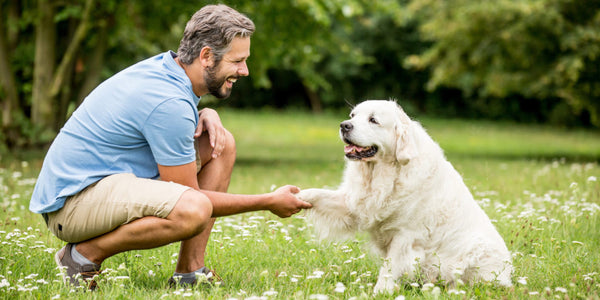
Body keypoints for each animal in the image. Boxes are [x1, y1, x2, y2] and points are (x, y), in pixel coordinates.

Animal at [298, 101, 512, 292]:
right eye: (353, 115)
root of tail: (509, 274)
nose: (344, 125)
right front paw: (296, 196)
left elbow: (389, 267)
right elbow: (317, 194)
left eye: (373, 120)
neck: (384, 173)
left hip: (476, 250)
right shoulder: (354, 204)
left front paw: (380, 292)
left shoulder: (405, 235)